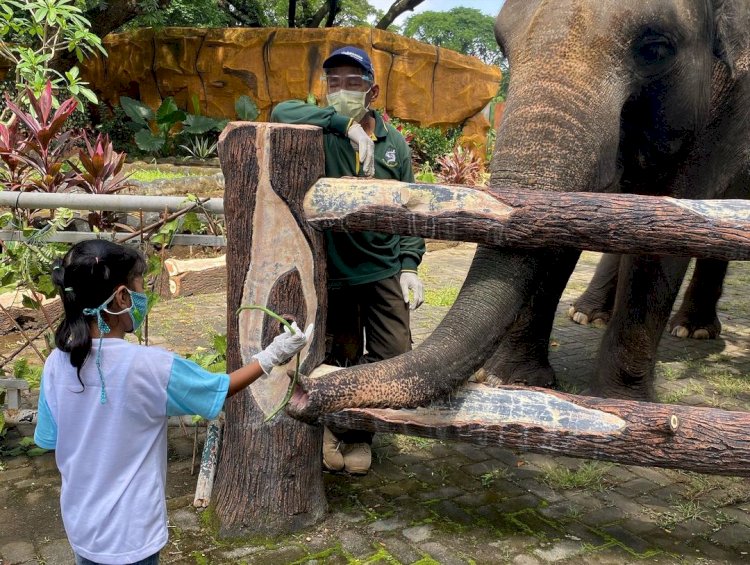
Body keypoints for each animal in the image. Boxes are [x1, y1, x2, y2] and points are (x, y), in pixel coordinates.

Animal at [288, 0, 750, 416]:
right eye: (502, 44)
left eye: (656, 48)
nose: (303, 390)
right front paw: (510, 380)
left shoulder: (725, 113)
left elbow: (666, 235)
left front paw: (622, 401)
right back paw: (591, 315)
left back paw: (690, 330)